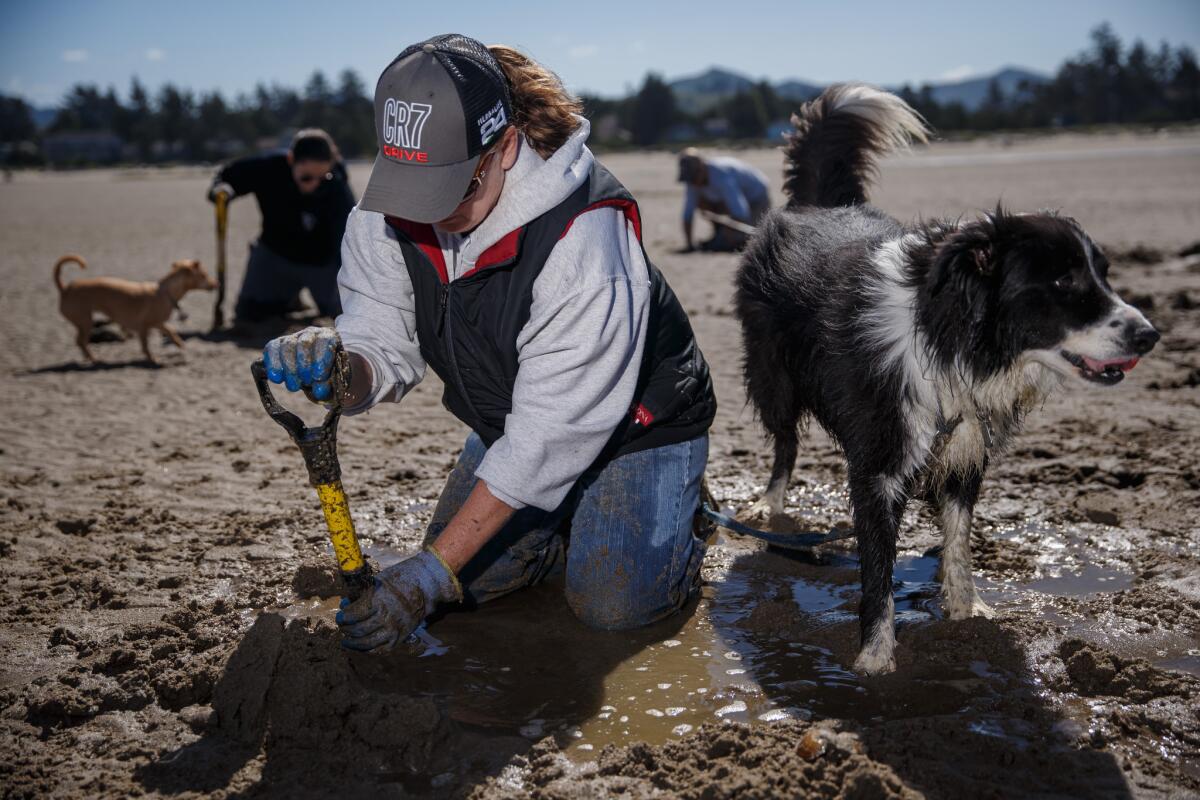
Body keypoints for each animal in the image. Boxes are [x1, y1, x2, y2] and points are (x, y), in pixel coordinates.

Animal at [54, 255, 217, 364]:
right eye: (205, 275)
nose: (217, 283)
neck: (165, 292)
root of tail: (65, 289)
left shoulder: (157, 323)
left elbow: (170, 330)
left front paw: (179, 343)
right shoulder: (144, 326)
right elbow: (146, 345)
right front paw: (153, 359)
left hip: (83, 321)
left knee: (79, 341)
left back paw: (88, 358)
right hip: (85, 320)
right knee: (81, 341)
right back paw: (94, 359)